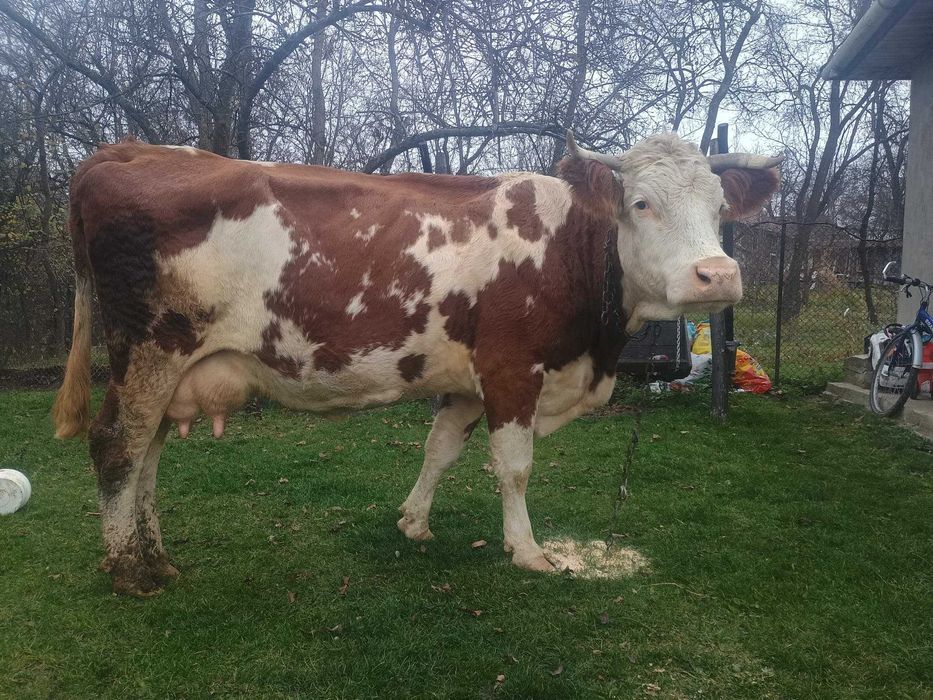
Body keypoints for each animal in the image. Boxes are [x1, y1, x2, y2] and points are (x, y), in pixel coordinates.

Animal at [52, 132, 781, 596]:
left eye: (720, 207)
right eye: (641, 203)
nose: (716, 275)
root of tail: (128, 150)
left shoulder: (466, 380)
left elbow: (441, 449)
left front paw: (413, 521)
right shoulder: (512, 369)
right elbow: (513, 468)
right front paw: (527, 551)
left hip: (166, 366)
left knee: (146, 454)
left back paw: (154, 558)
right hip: (149, 348)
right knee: (118, 445)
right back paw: (129, 571)